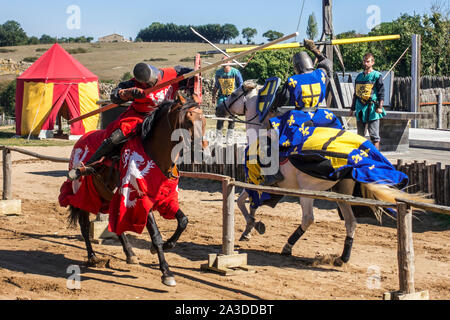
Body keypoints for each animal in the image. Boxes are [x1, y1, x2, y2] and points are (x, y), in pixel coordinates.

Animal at [64, 92, 207, 284]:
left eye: (204, 120)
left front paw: (168, 245)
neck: (155, 154)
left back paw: (130, 254)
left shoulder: (164, 198)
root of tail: (80, 141)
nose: (202, 150)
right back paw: (93, 257)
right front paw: (166, 272)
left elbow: (183, 221)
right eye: (188, 120)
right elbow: (156, 236)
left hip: (107, 197)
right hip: (83, 196)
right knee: (85, 226)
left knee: (115, 226)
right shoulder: (140, 199)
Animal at [215, 80, 428, 264]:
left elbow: (243, 202)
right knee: (351, 221)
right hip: (341, 192)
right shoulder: (262, 186)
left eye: (233, 94)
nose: (218, 109)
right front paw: (248, 231)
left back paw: (288, 246)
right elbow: (249, 204)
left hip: (308, 190)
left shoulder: (255, 182)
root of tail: (355, 160)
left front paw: (254, 226)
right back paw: (343, 257)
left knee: (309, 218)